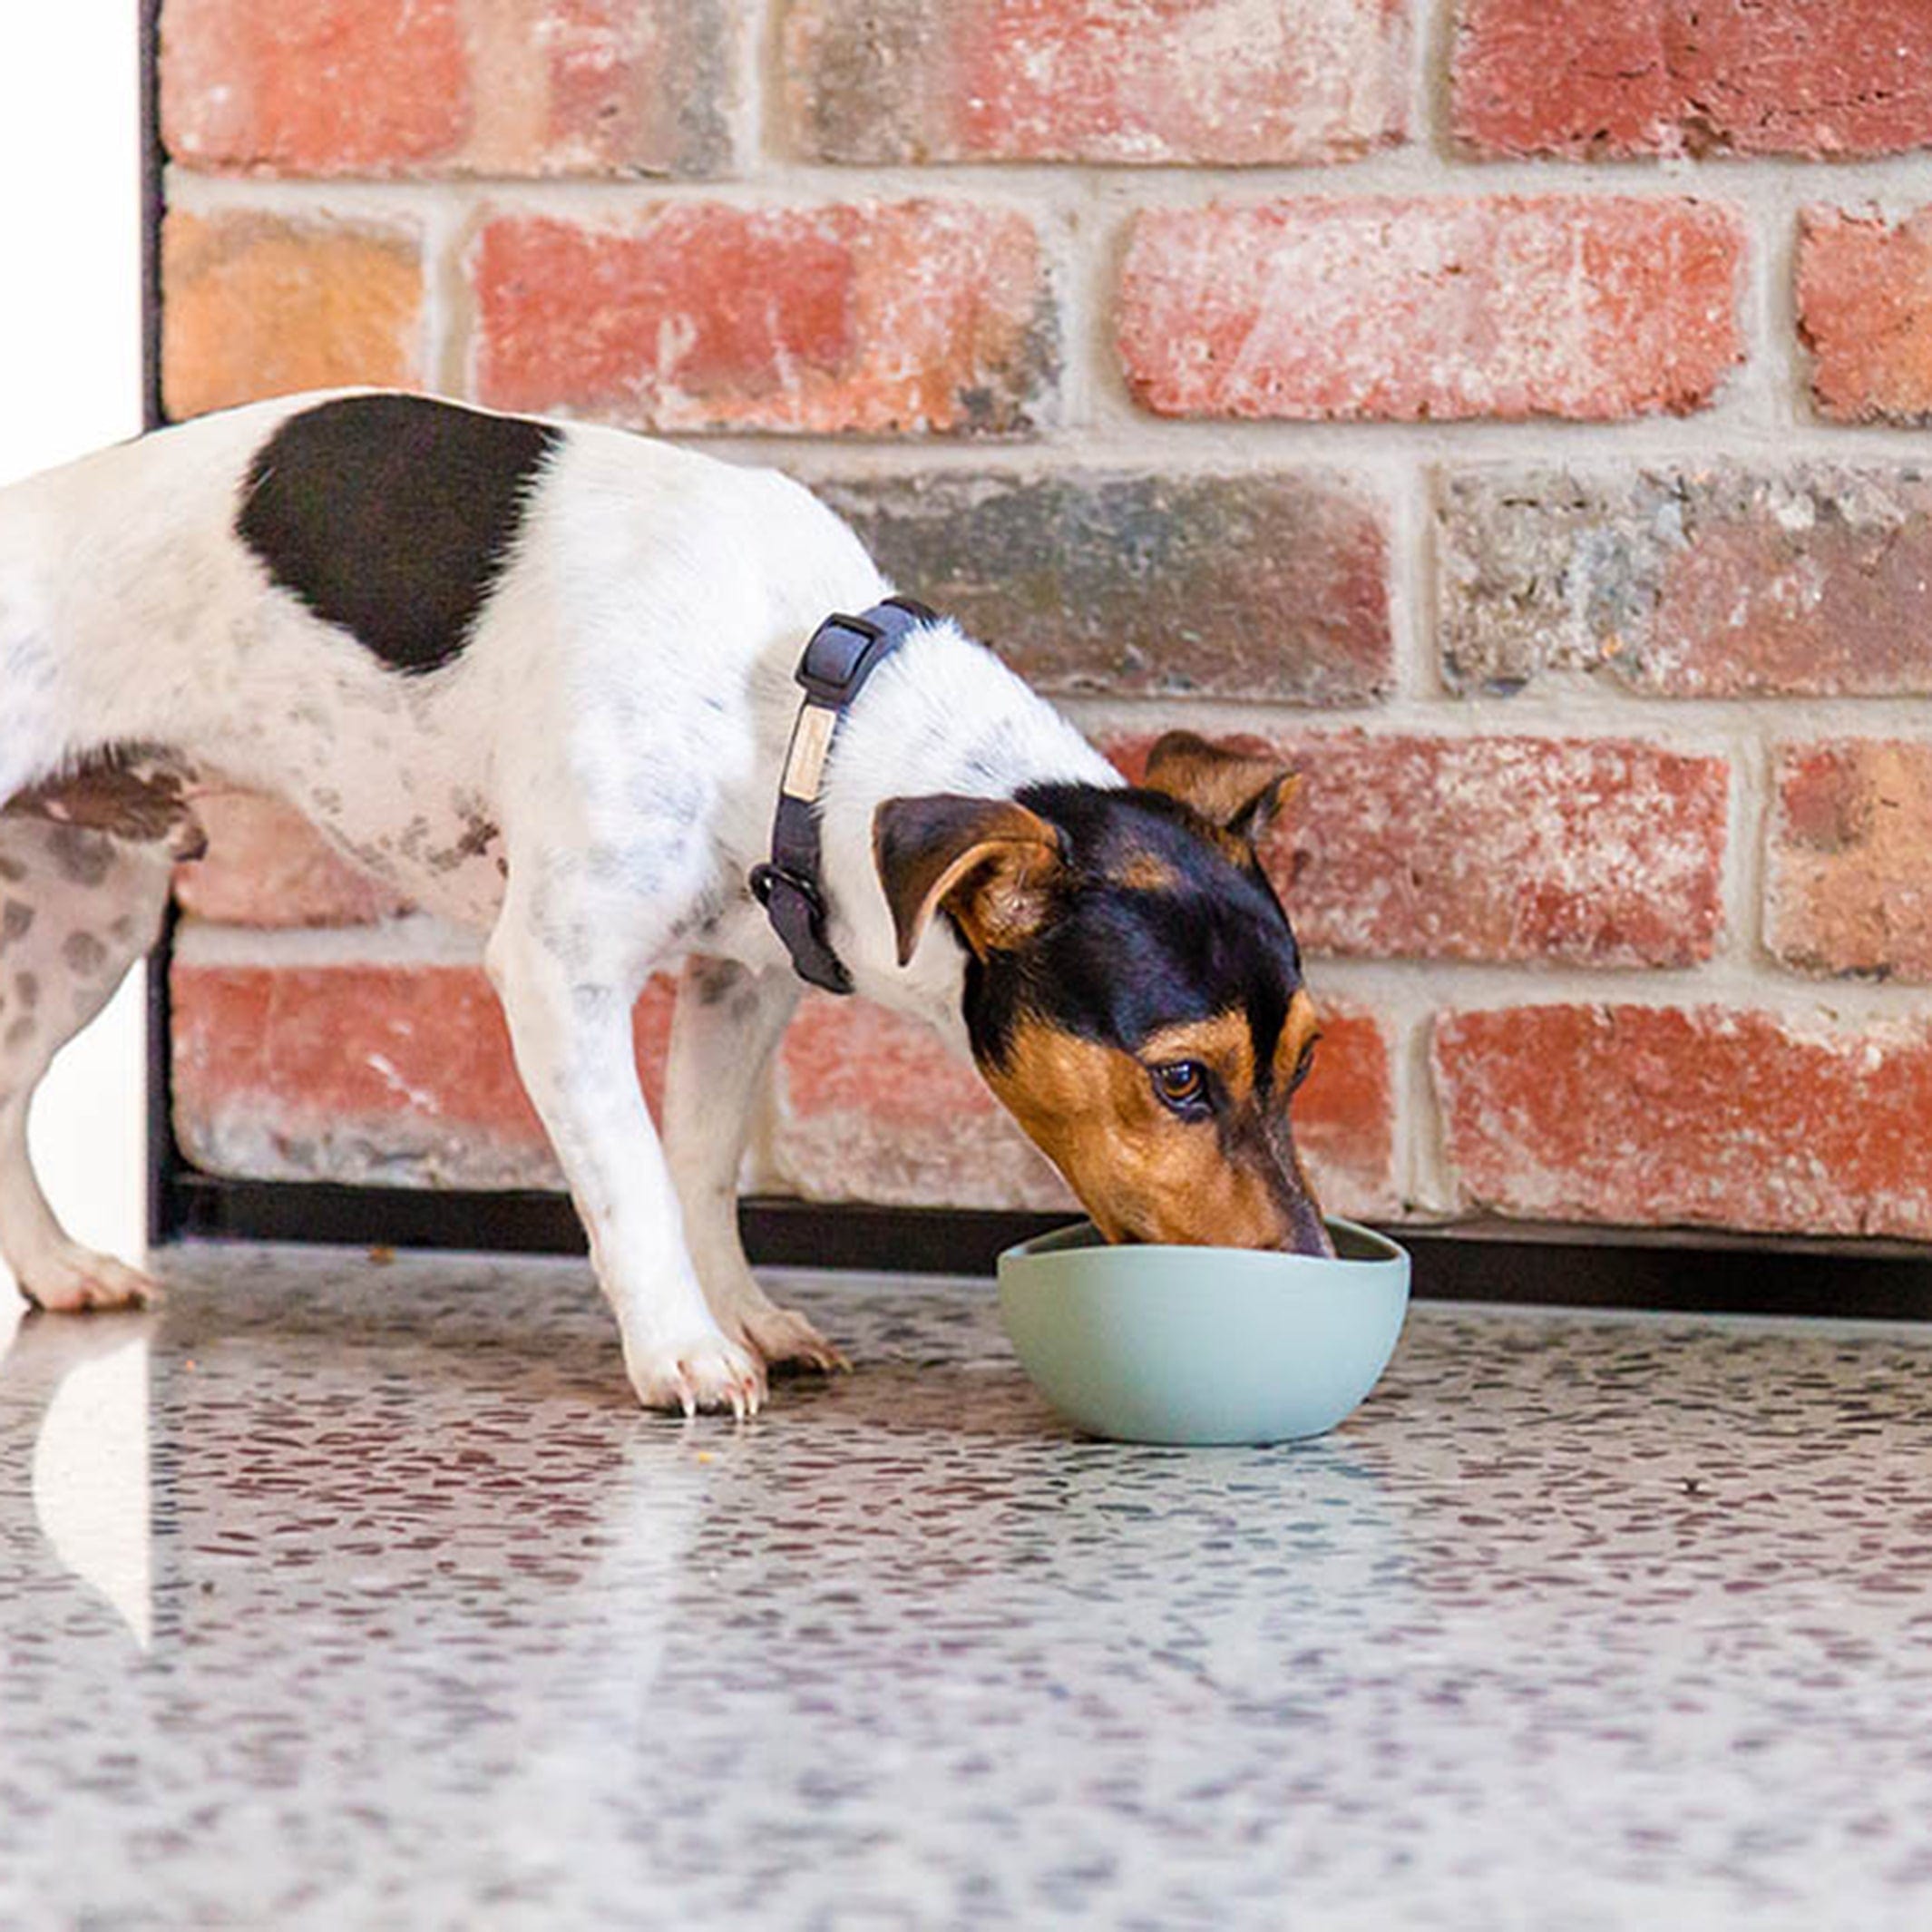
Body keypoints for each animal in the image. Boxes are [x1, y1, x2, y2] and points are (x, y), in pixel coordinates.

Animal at [0, 395, 1329, 1421]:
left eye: (1307, 1062)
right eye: (1178, 1080)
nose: (1316, 1268)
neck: (800, 703)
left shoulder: (742, 981)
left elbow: (700, 1167)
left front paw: (740, 1313)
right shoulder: (558, 976)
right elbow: (631, 1178)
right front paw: (682, 1350)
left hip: (81, 926)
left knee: (6, 1090)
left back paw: (56, 1267)